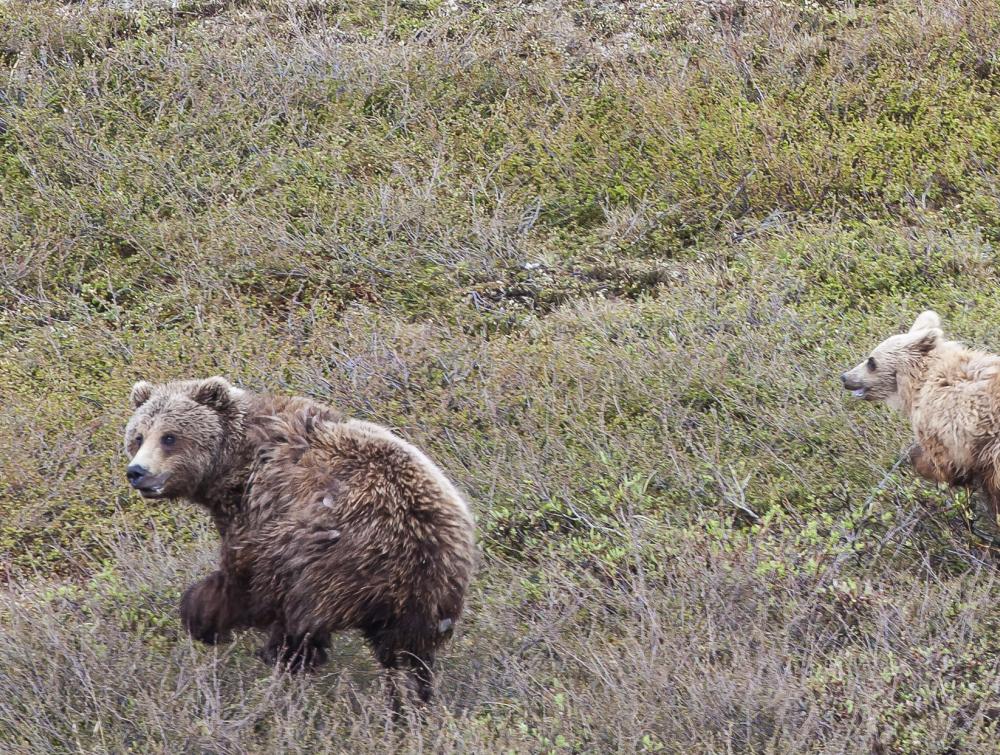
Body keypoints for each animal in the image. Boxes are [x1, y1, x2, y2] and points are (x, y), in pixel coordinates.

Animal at [124, 378, 476, 708]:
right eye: (138, 436)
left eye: (169, 437)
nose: (137, 472)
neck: (234, 466)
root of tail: (419, 549)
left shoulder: (261, 505)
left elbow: (241, 576)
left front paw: (200, 613)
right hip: (430, 598)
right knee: (408, 656)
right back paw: (410, 703)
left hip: (328, 557)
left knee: (292, 612)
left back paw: (281, 660)